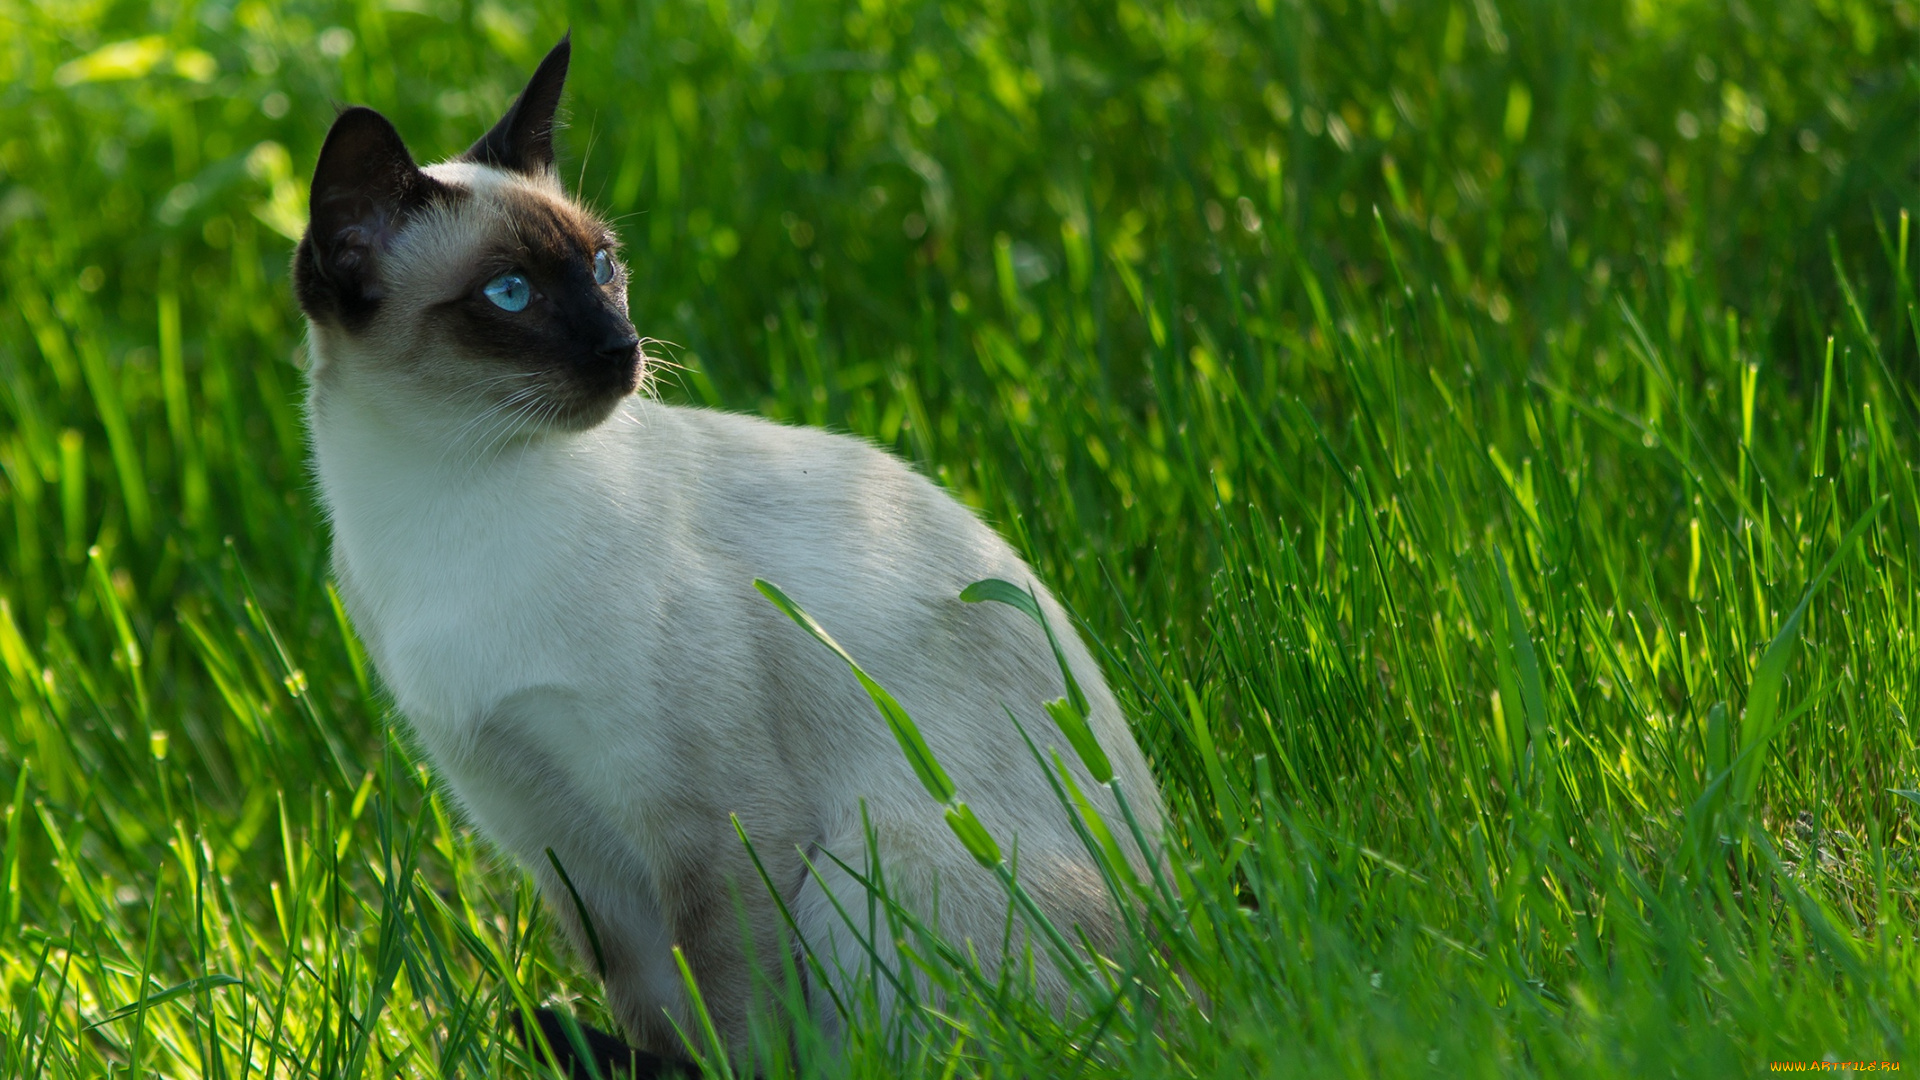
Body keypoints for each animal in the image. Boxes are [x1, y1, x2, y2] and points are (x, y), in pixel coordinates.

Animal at [297, 35, 1159, 1076]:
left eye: (603, 264)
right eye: (511, 294)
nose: (624, 348)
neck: (447, 504)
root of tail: (1195, 976)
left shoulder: (710, 831)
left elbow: (738, 1019)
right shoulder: (559, 837)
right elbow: (655, 1009)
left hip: (868, 866)